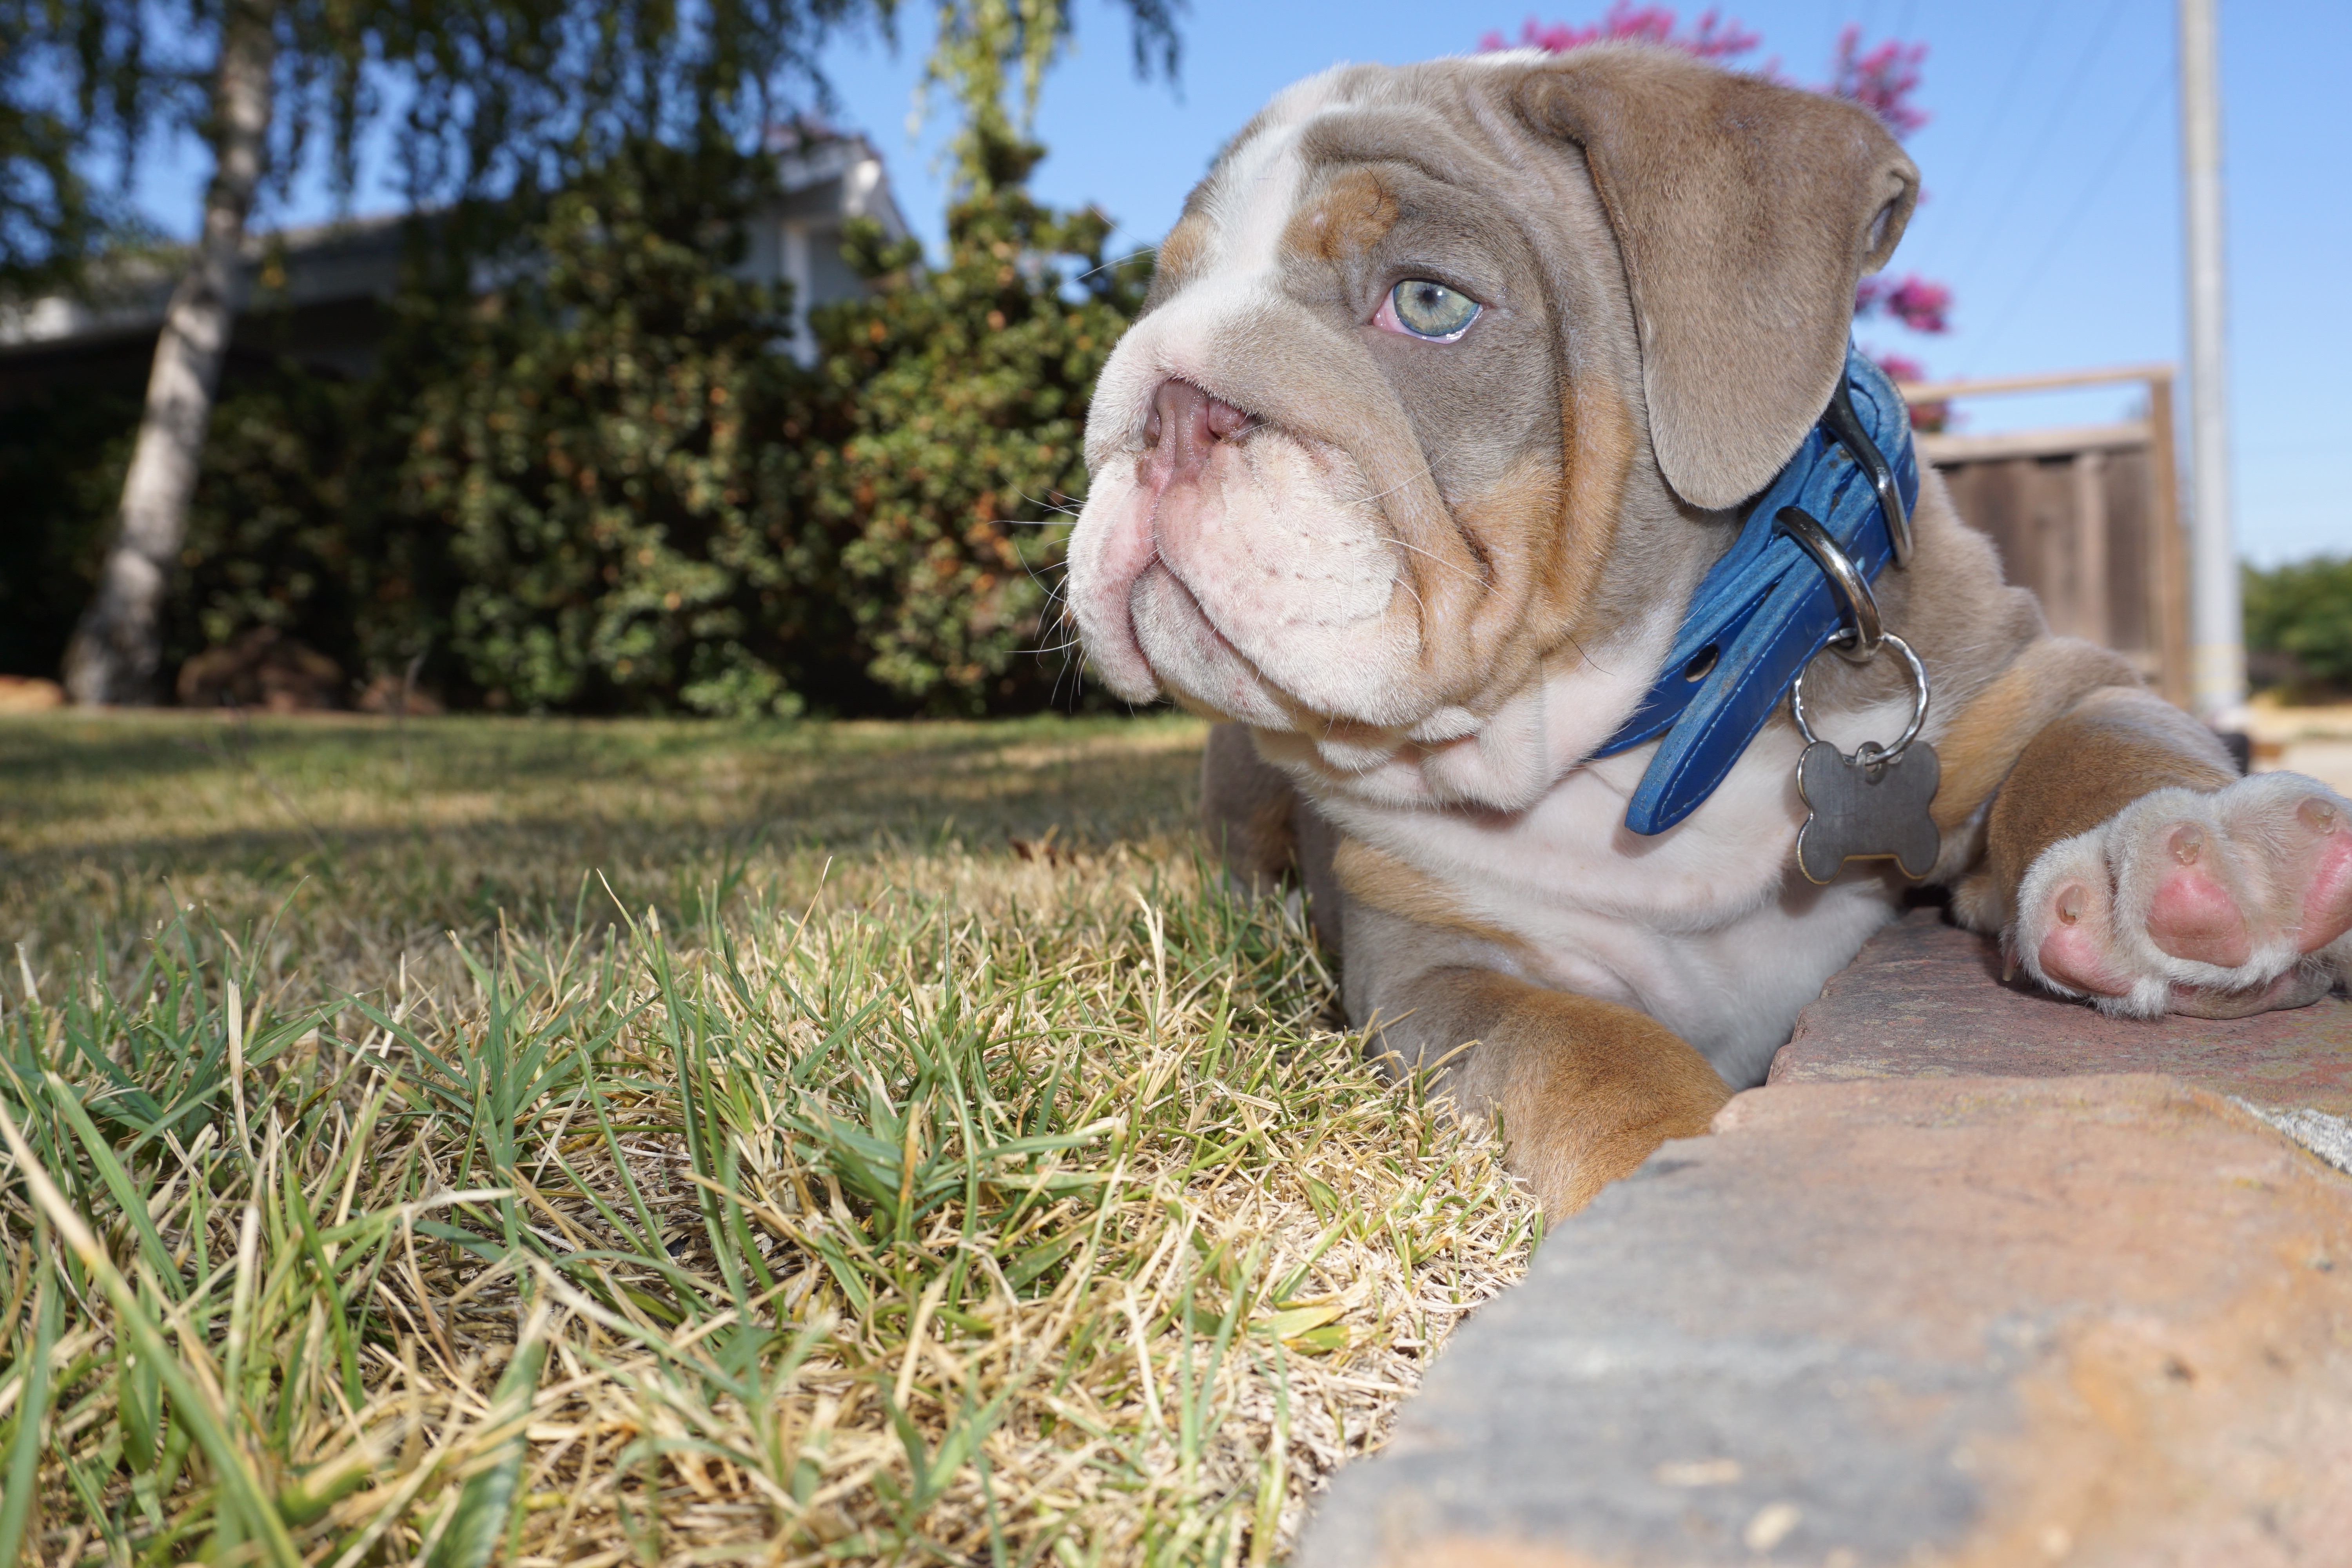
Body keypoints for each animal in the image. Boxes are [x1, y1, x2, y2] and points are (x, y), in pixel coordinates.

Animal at [1065, 44, 2352, 1215]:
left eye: (1429, 302)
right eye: (1158, 301)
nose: (1165, 402)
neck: (1652, 718)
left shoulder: (2023, 681)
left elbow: (2101, 742)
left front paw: (2206, 870)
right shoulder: (1432, 967)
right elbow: (1587, 1047)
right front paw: (1676, 1171)